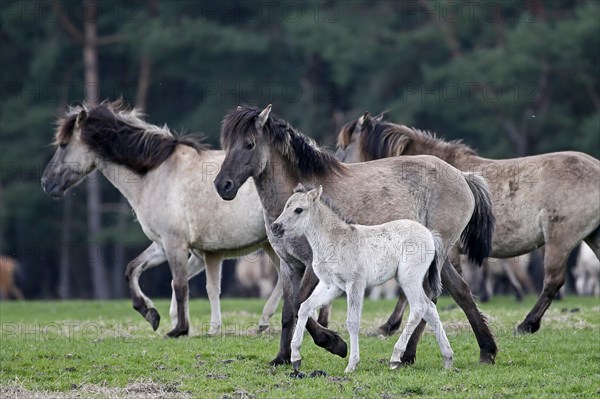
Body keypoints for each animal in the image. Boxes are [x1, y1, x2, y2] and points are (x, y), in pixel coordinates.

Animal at [40, 101, 284, 338]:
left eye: (63, 145)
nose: (46, 182)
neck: (156, 175)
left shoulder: (174, 242)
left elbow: (180, 284)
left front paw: (180, 329)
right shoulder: (163, 244)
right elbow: (132, 269)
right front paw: (151, 313)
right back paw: (264, 321)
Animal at [270, 186, 452, 374]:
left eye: (299, 209)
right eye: (286, 206)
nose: (275, 227)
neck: (335, 241)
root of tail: (430, 234)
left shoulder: (355, 284)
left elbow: (352, 321)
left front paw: (352, 364)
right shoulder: (331, 286)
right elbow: (304, 307)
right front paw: (295, 357)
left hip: (409, 278)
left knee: (419, 308)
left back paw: (396, 356)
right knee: (429, 307)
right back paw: (447, 359)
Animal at [336, 113, 600, 334]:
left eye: (342, 147)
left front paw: (389, 325)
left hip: (559, 240)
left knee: (552, 281)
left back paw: (527, 324)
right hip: (592, 237)